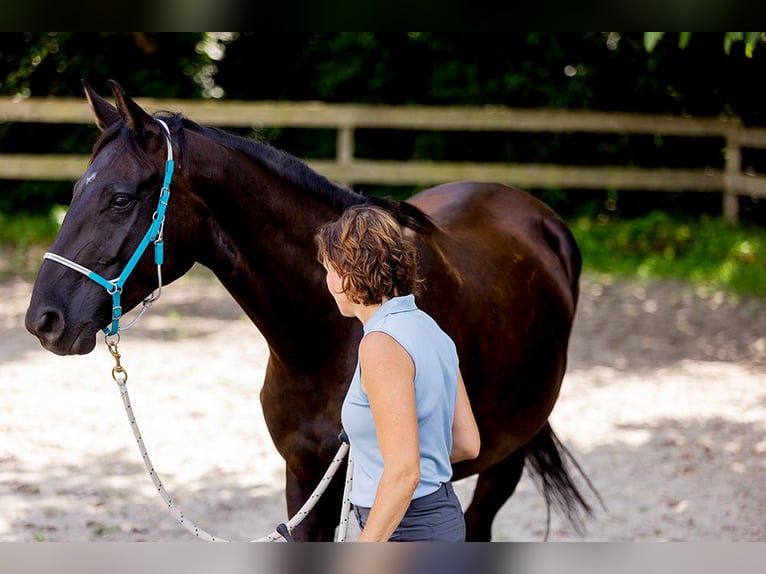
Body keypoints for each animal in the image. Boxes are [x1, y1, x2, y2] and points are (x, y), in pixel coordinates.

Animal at [25, 81, 600, 544]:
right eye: (75, 191)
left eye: (120, 199)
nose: (42, 321)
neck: (326, 341)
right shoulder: (303, 481)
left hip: (507, 457)